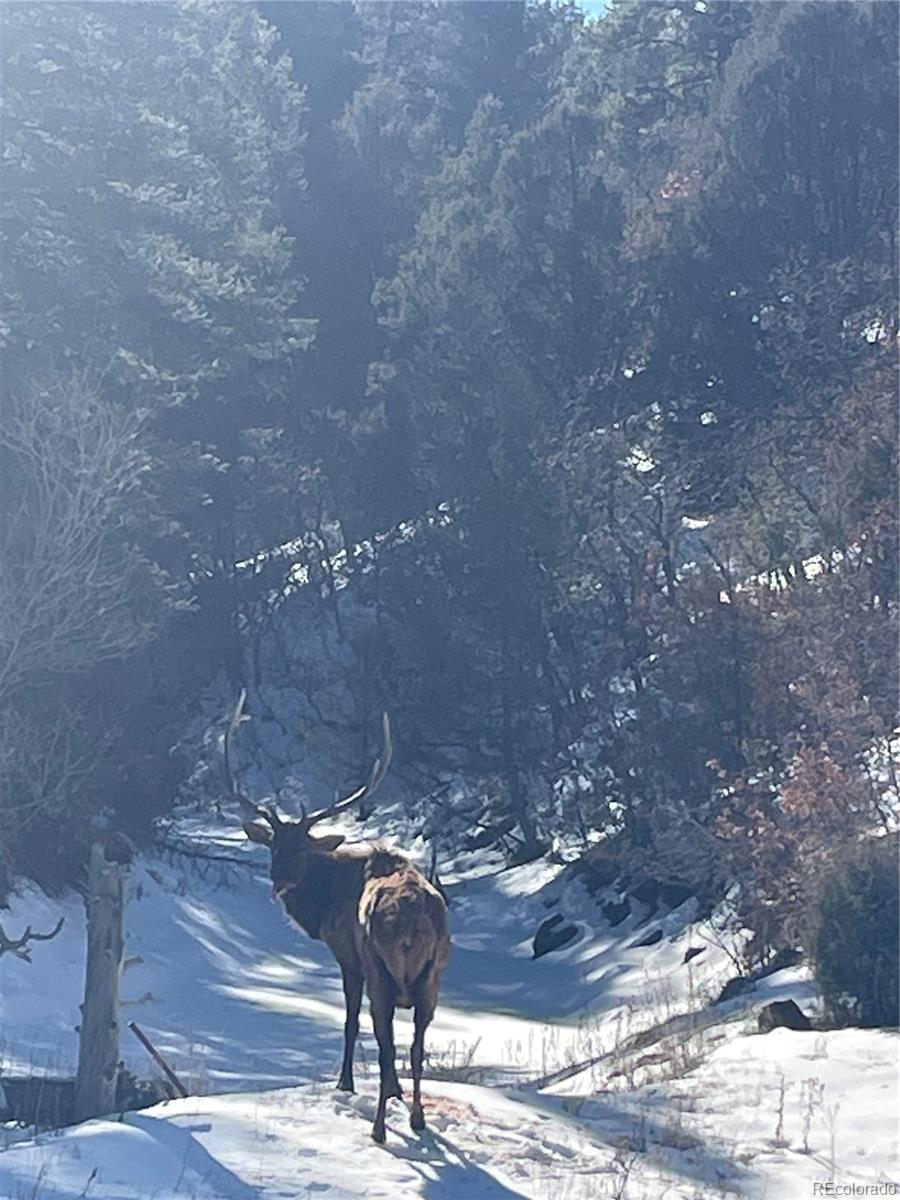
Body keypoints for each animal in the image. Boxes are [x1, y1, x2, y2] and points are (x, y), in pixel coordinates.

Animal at [225, 691, 451, 1137]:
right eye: (274, 846)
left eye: (303, 847)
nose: (281, 880)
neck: (326, 901)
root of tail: (412, 925)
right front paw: (396, 1092)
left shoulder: (349, 955)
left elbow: (348, 1021)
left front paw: (345, 1083)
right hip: (432, 976)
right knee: (416, 1045)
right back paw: (416, 1118)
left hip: (381, 969)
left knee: (385, 1043)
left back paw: (379, 1128)